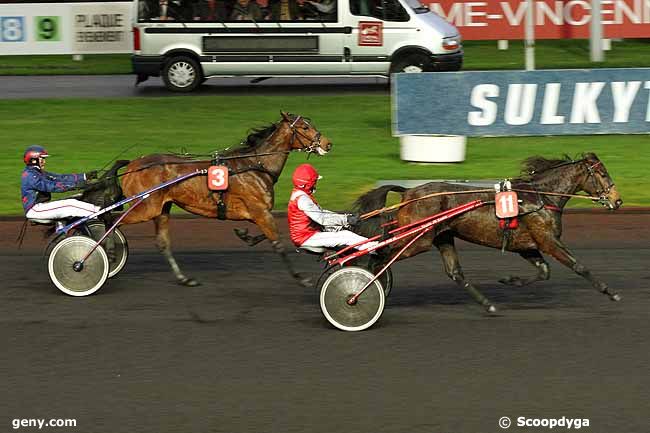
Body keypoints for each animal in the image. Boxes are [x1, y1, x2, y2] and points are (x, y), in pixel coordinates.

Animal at [110, 113, 330, 286]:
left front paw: (245, 235)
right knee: (111, 221)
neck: (256, 166)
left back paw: (183, 278)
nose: (328, 144)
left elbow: (272, 234)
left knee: (162, 243)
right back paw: (110, 253)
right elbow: (279, 243)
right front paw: (301, 278)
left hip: (161, 209)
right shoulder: (260, 211)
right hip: (146, 207)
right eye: (304, 127)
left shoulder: (257, 213)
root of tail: (132, 165)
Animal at [354, 152, 624, 310]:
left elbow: (543, 271)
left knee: (454, 272)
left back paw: (488, 304)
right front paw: (610, 293)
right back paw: (362, 289)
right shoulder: (548, 240)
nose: (617, 200)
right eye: (602, 173)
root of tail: (408, 192)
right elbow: (579, 267)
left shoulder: (526, 245)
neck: (541, 197)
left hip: (441, 236)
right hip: (417, 240)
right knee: (381, 258)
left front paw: (510, 280)